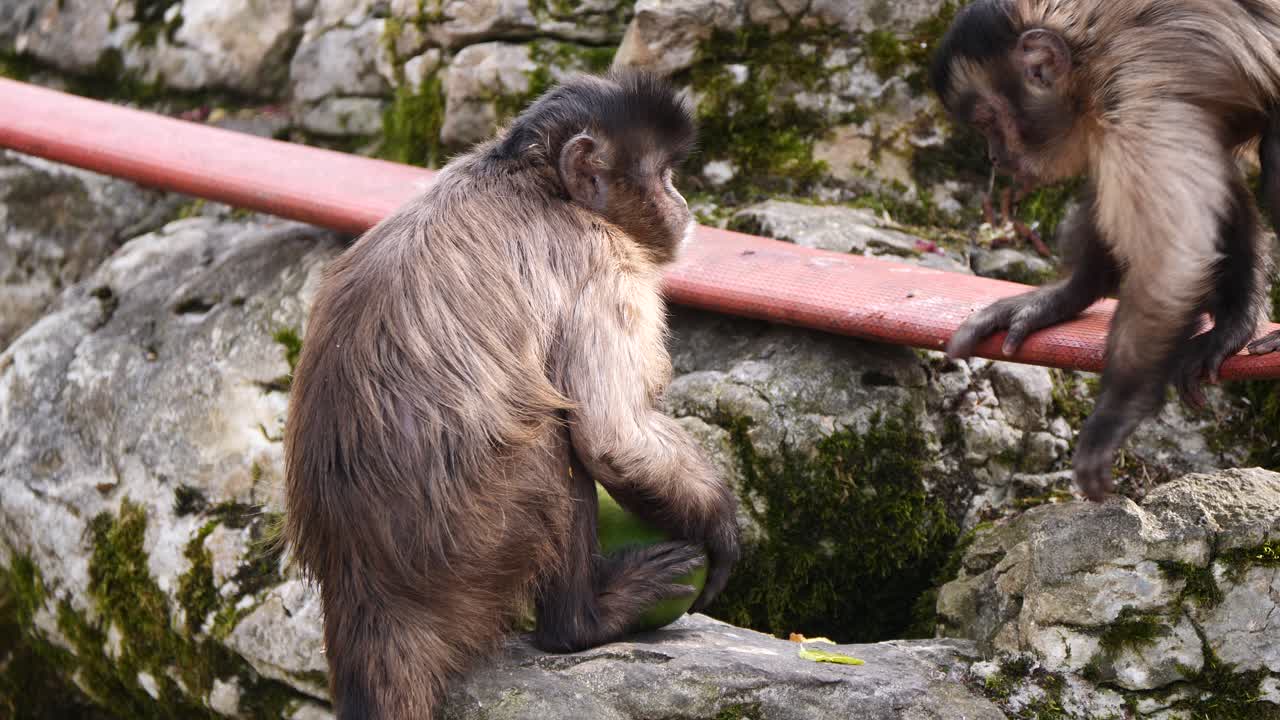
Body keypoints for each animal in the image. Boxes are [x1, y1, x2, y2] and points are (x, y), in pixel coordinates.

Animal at [282, 71, 740, 720]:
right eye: (664, 175)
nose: (682, 206)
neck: (531, 180)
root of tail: (365, 583)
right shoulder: (599, 257)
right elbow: (612, 440)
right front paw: (721, 527)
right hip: (477, 539)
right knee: (555, 440)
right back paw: (581, 623)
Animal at [929, 0, 1280, 501]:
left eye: (987, 122)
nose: (994, 157)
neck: (1084, 57)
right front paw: (1060, 299)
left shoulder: (1131, 98)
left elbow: (1173, 259)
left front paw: (1117, 411)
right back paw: (1236, 322)